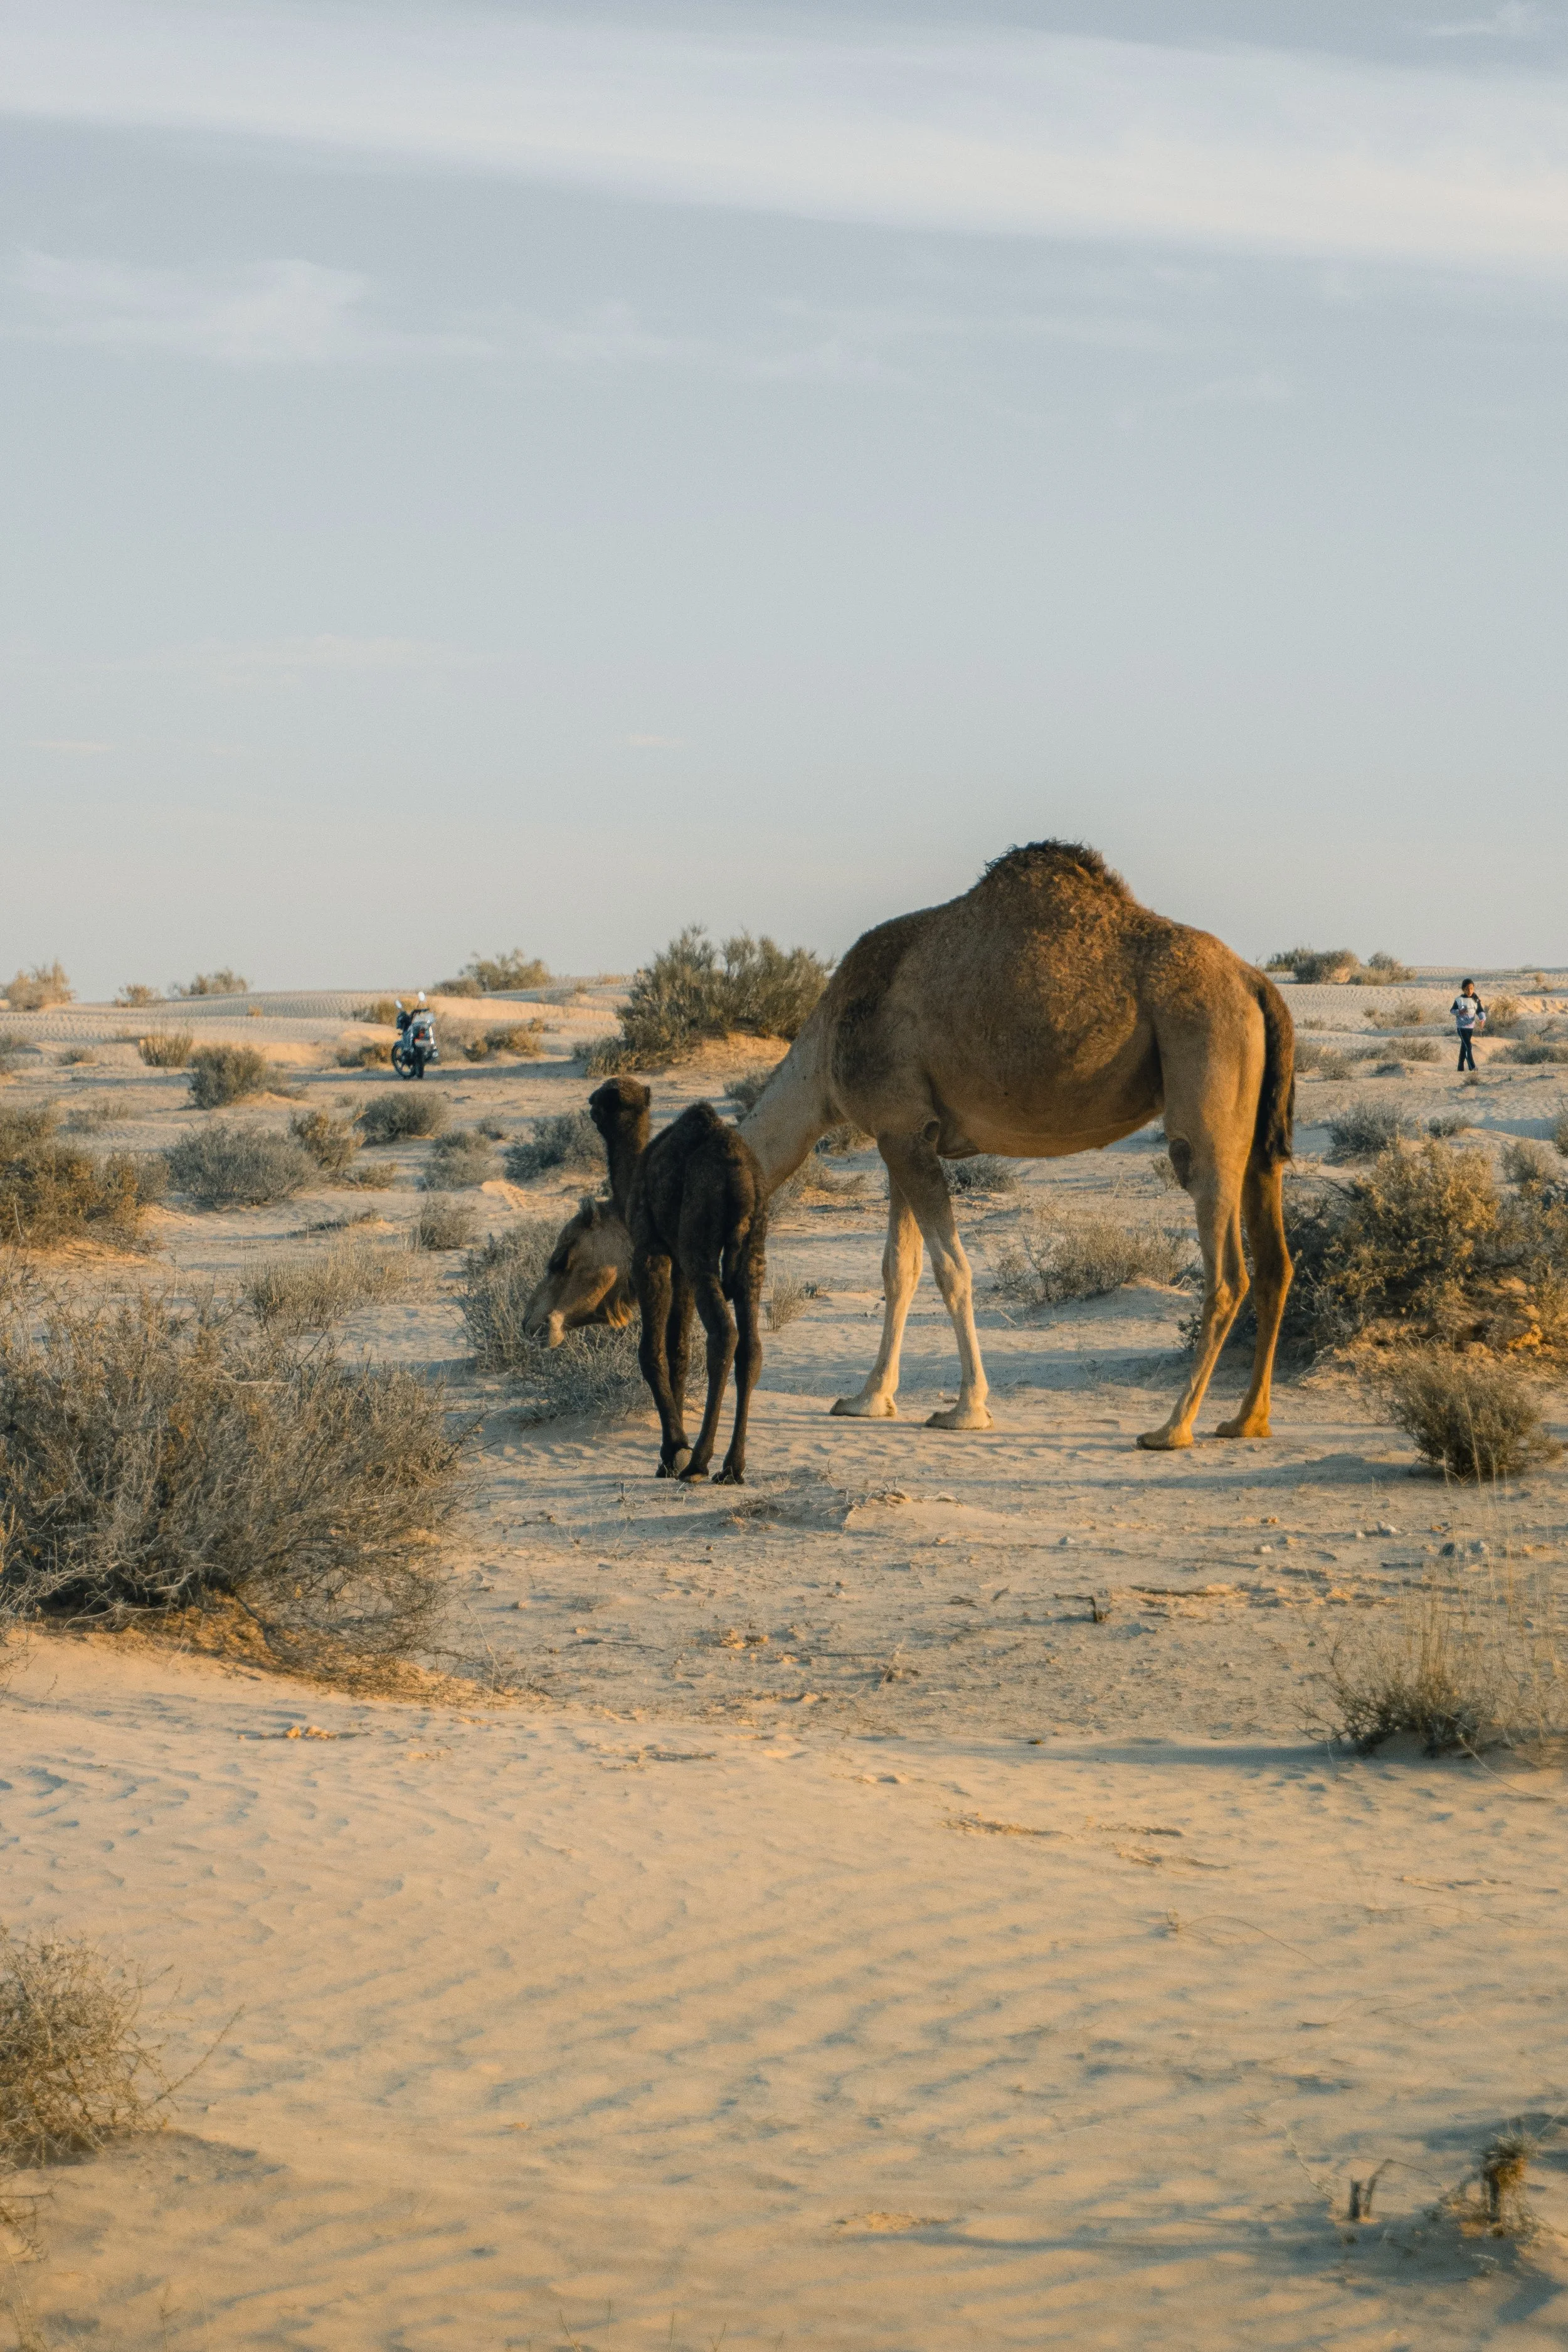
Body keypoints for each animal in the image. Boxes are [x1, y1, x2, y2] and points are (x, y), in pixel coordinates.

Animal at [586, 1077, 768, 1483]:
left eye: (601, 1101)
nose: (590, 1104)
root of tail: (740, 1177)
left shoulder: (650, 1248)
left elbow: (650, 1350)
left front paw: (672, 1452)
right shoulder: (680, 1263)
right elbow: (679, 1350)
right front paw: (672, 1453)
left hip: (700, 1237)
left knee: (724, 1335)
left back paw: (700, 1460)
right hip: (753, 1247)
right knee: (751, 1344)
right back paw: (733, 1467)